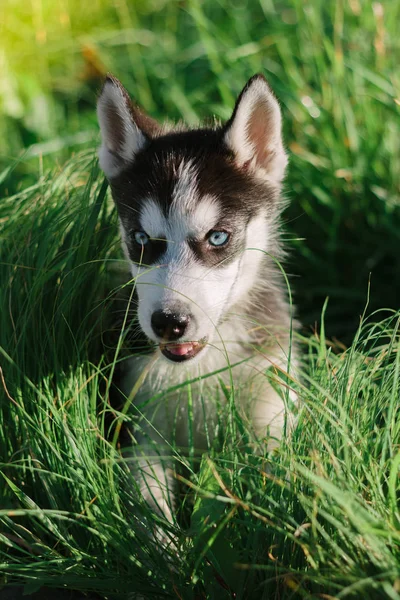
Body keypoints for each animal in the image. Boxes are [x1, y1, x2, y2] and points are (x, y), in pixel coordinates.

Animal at [97, 72, 296, 528]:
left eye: (218, 237)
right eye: (141, 239)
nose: (169, 322)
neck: (200, 369)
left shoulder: (271, 400)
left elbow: (277, 478)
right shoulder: (141, 427)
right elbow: (152, 511)